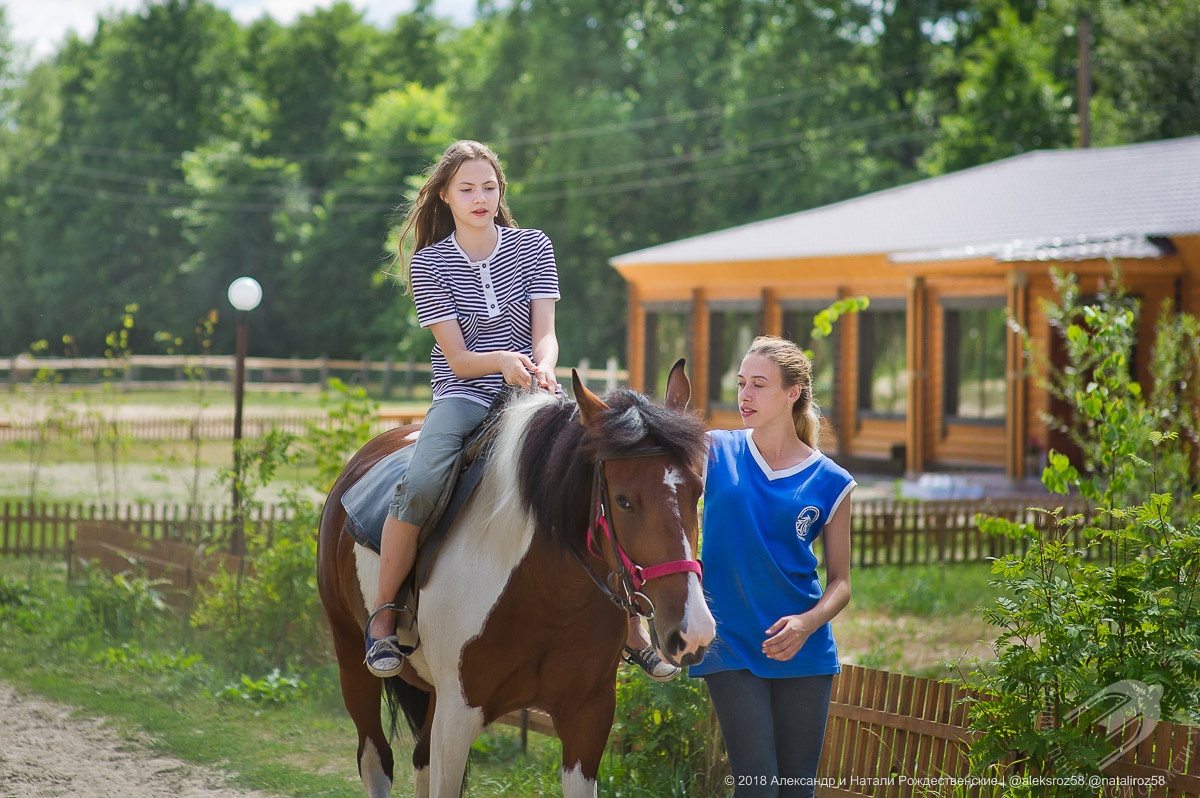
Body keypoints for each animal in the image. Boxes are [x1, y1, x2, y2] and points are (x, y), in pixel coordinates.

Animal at [316, 362, 710, 796]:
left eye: (698, 491)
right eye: (624, 500)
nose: (693, 632)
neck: (547, 594)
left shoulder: (588, 716)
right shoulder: (457, 718)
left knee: (419, 760)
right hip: (351, 654)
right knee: (375, 759)